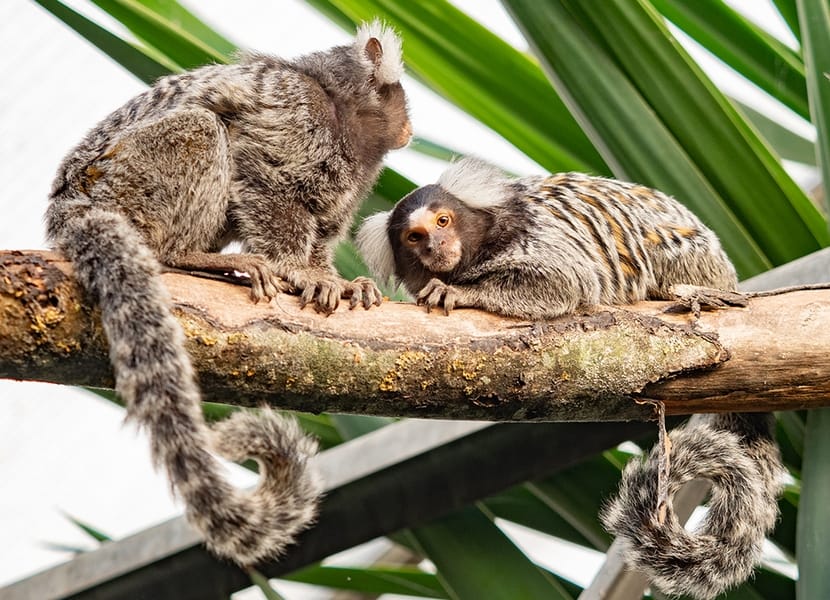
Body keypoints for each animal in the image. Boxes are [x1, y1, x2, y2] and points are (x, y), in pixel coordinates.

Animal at [44, 22, 410, 568]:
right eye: (398, 91)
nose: (409, 125)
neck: (341, 108)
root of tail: (68, 209)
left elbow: (322, 233)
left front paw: (341, 281)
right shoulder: (293, 112)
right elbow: (260, 172)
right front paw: (298, 273)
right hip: (123, 183)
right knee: (202, 128)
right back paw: (187, 256)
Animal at [358, 158, 788, 600]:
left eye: (443, 221)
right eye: (414, 237)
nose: (434, 247)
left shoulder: (534, 236)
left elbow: (565, 280)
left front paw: (460, 292)